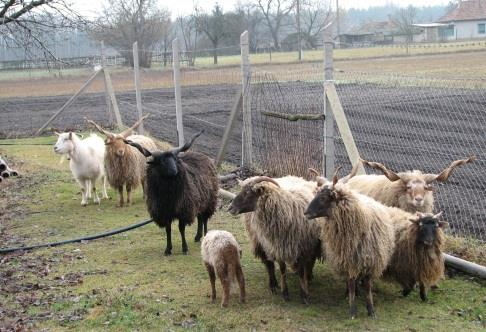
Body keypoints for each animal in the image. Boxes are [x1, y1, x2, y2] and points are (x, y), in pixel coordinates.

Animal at [229, 176, 322, 304]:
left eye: (247, 192)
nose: (230, 208)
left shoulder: (303, 247)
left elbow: (301, 270)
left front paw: (304, 294)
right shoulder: (277, 245)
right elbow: (282, 269)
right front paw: (285, 293)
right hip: (260, 241)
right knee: (269, 265)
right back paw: (273, 285)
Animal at [306, 169, 396, 320]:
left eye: (323, 197)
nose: (306, 213)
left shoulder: (370, 261)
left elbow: (367, 286)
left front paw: (371, 310)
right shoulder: (348, 262)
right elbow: (352, 284)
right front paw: (352, 310)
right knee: (350, 282)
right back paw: (347, 293)